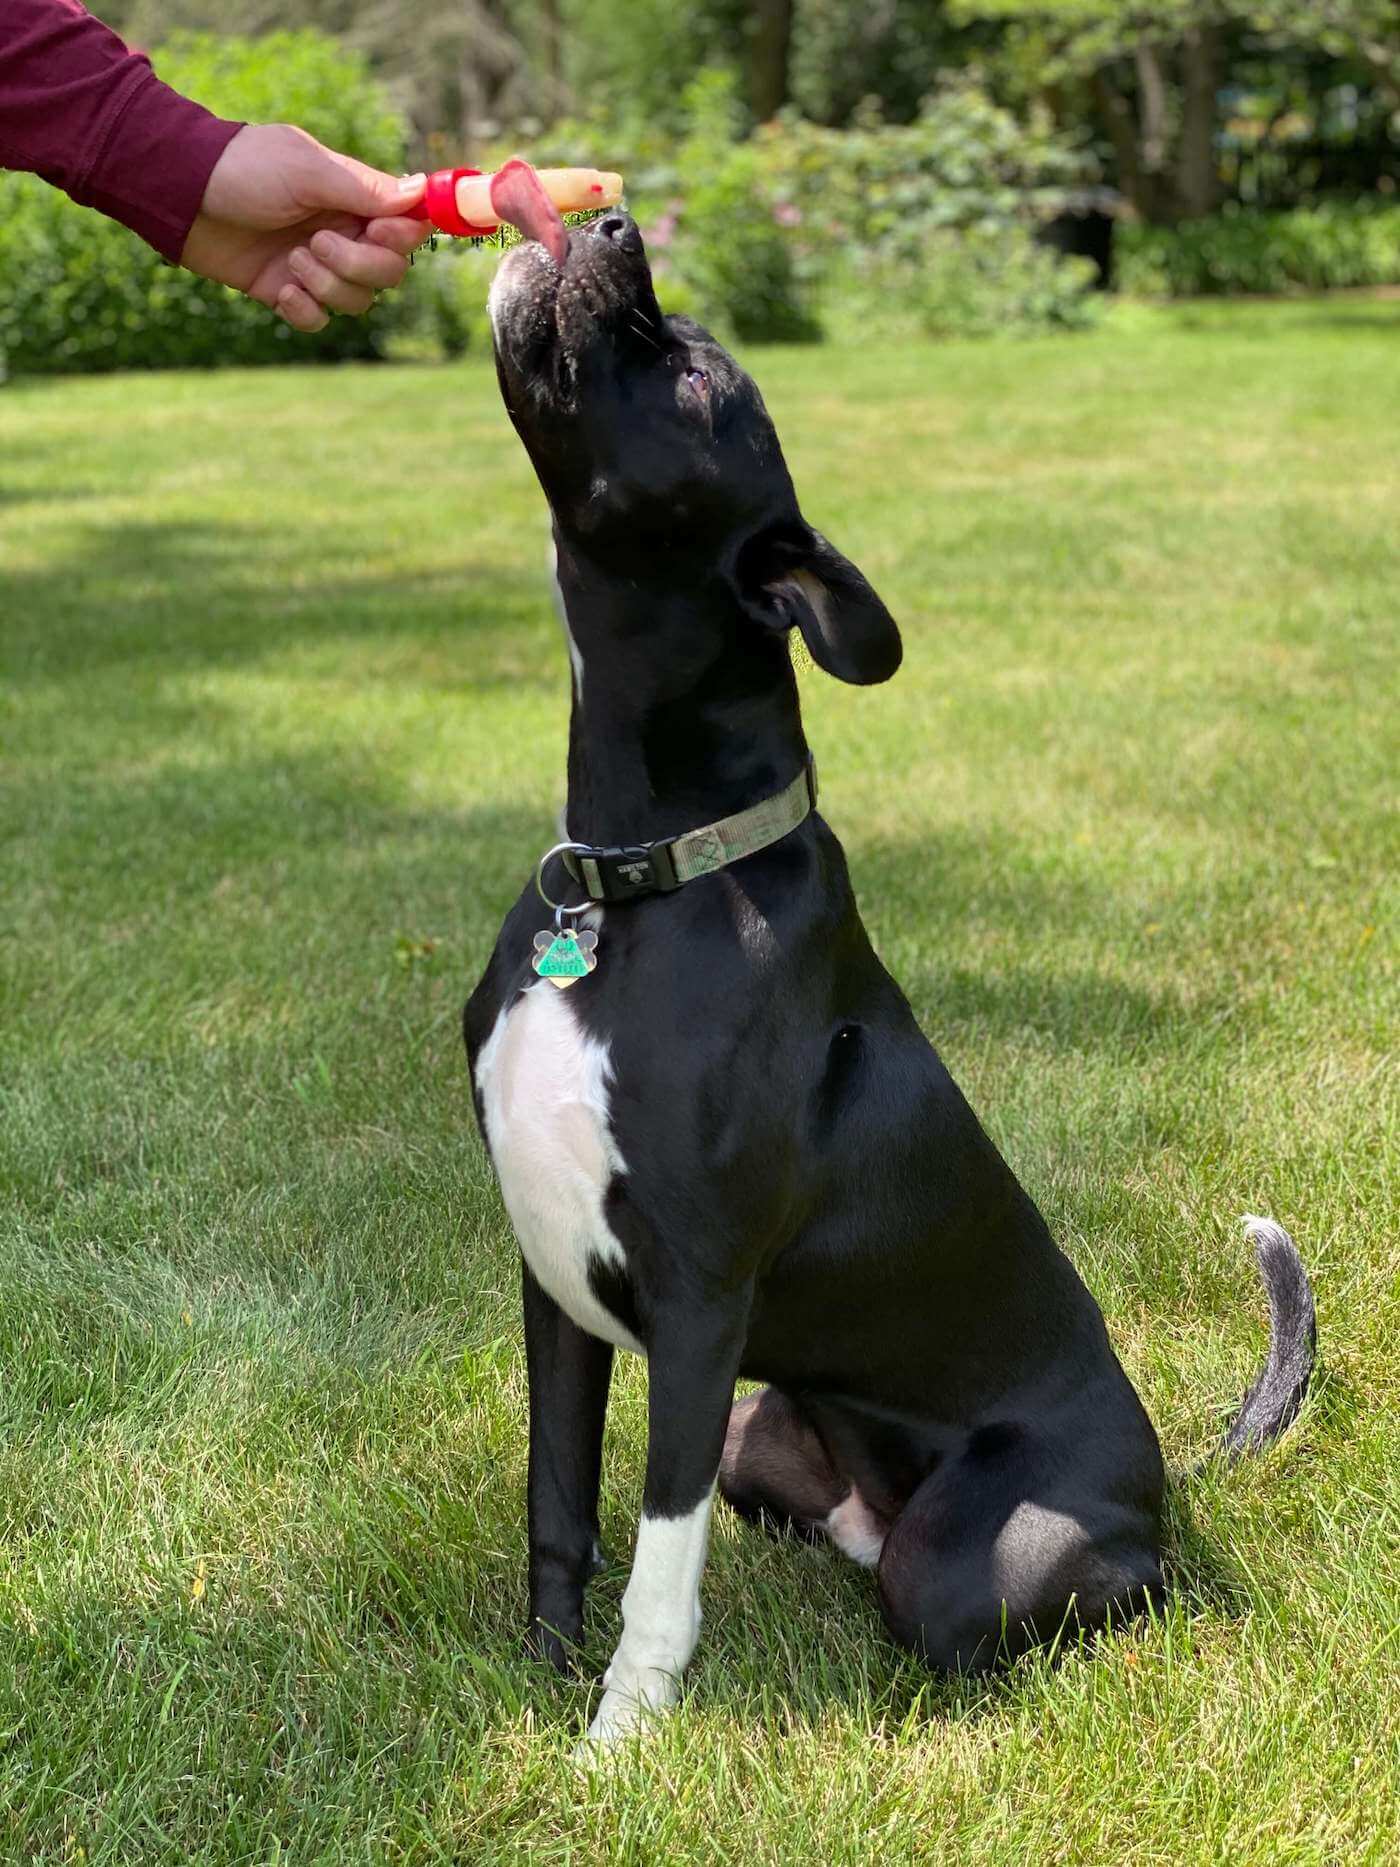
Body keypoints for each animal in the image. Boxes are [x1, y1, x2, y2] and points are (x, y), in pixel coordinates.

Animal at [468, 208, 1314, 1747]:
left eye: (697, 384)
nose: (611, 220)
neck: (642, 880)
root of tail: (1165, 1478)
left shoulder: (696, 1311)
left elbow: (657, 1566)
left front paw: (617, 1740)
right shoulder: (551, 1280)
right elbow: (558, 1507)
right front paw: (541, 1685)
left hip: (981, 1551)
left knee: (1063, 1590)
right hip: (765, 1427)